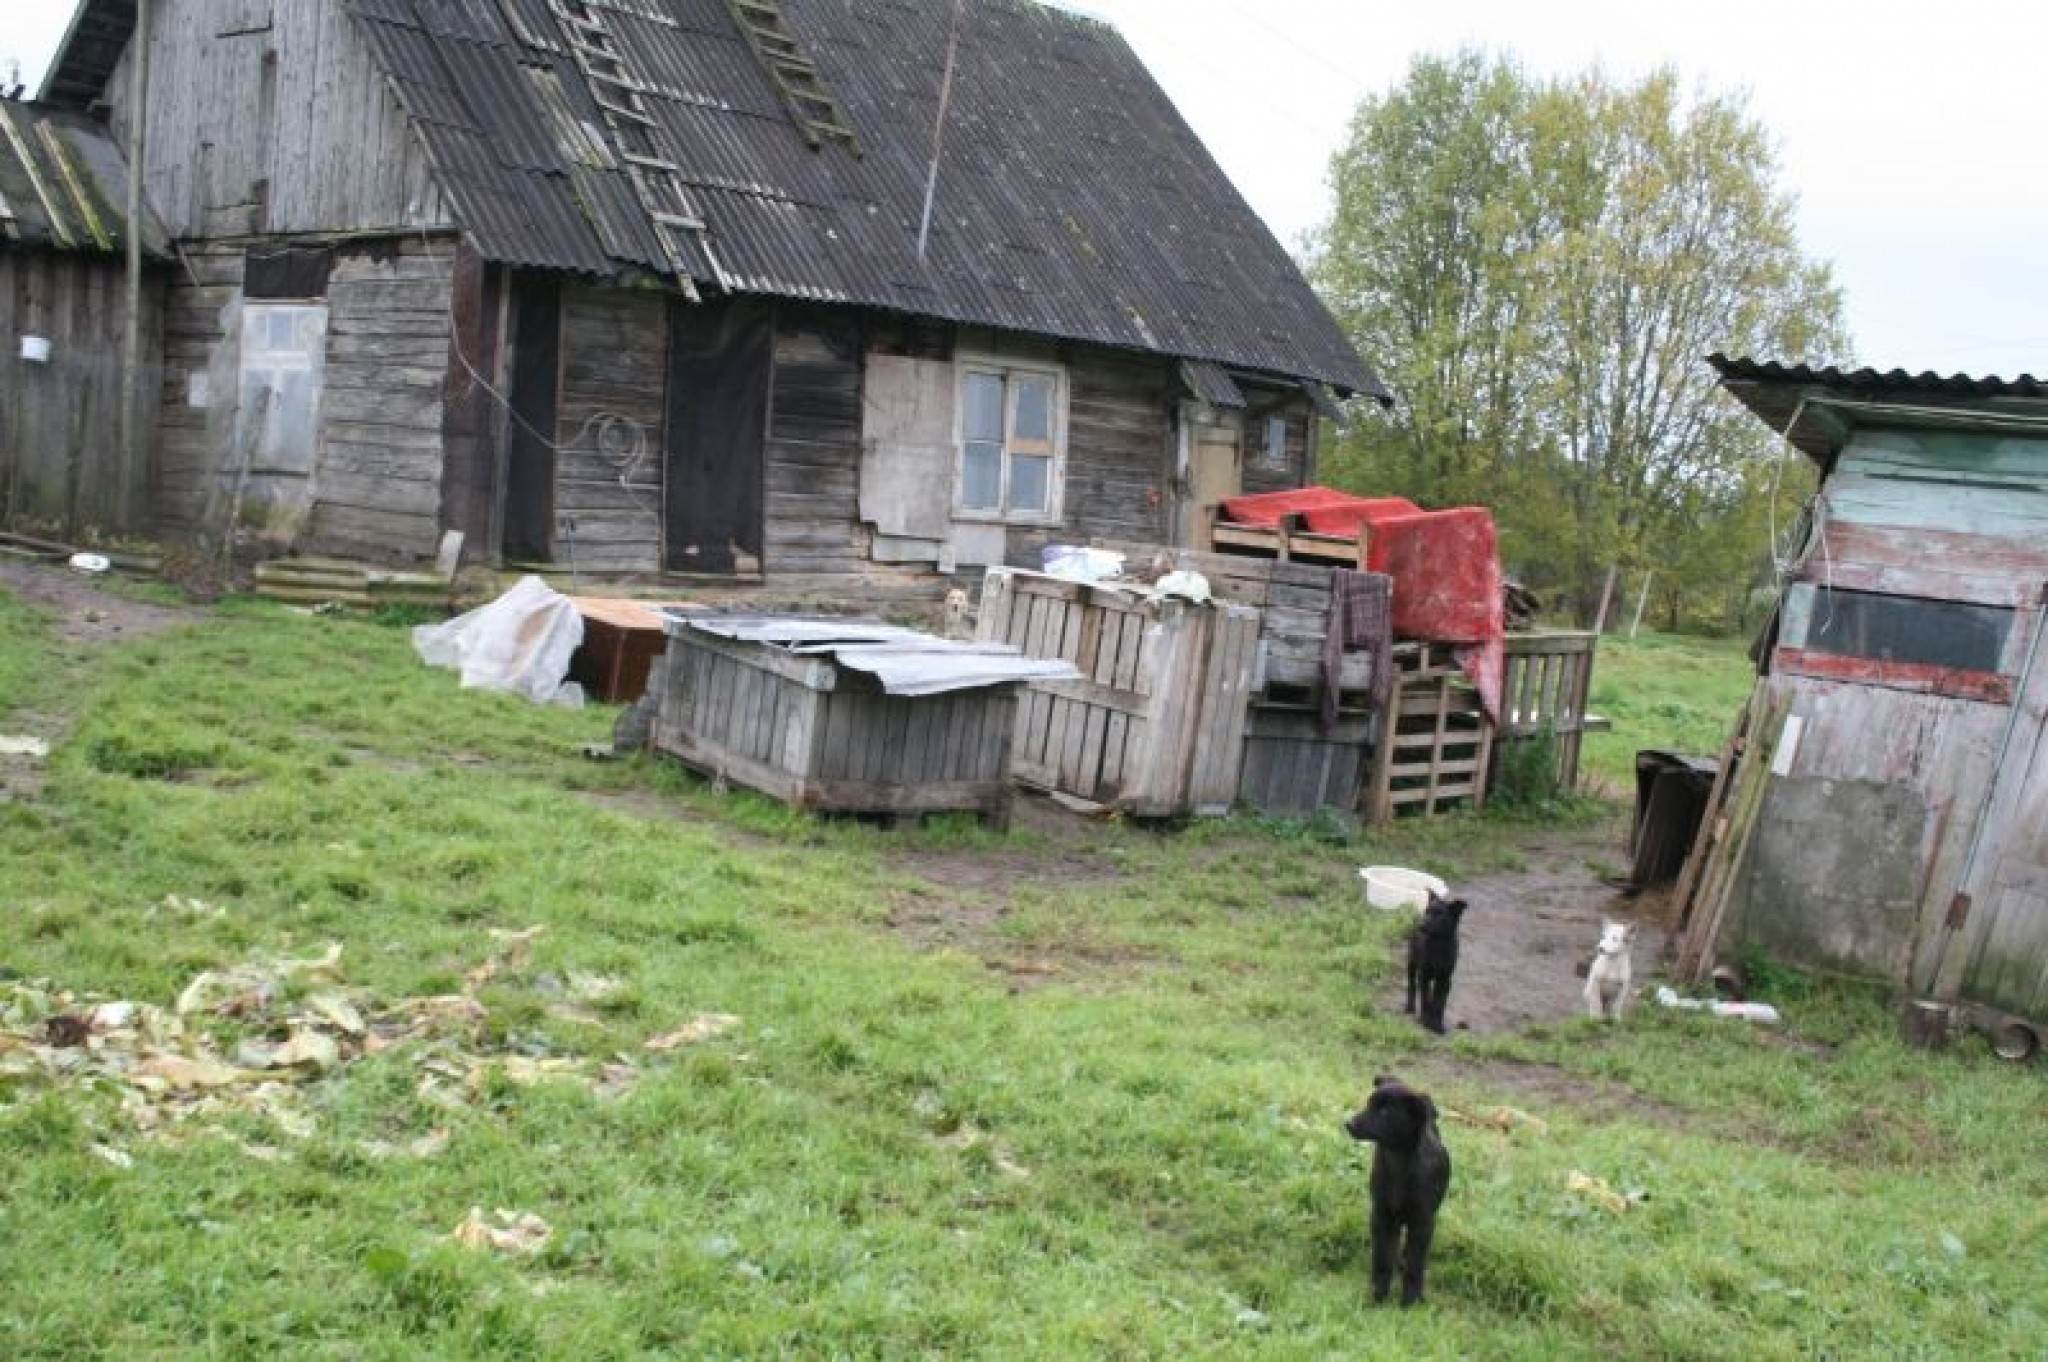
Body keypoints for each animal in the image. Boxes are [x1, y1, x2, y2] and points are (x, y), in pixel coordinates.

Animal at [1343, 1073, 1458, 1310]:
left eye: (1385, 1112)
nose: (1348, 1124)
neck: (1398, 1162)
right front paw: (1378, 1295)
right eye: (1369, 1104)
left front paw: (1409, 1302)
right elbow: (1382, 1257)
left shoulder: (1422, 1222)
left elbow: (1415, 1263)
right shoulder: (1381, 1214)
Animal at [1400, 892, 1466, 1032]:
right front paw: (1425, 1020)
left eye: (1440, 915)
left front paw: (1437, 1025)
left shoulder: (1445, 980)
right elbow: (1426, 999)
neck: (1438, 944)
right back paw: (1410, 1007)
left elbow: (1439, 1003)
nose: (1421, 926)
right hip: (1411, 963)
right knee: (1412, 986)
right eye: (1427, 911)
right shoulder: (1424, 975)